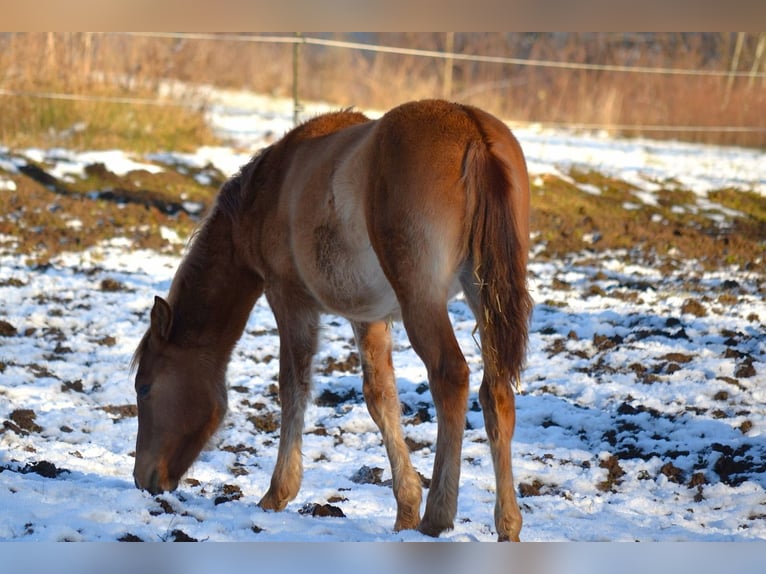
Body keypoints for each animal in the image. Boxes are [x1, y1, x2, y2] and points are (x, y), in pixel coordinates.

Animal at [130, 99, 536, 544]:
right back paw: (507, 524)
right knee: (495, 393)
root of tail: (470, 127)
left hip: (423, 301)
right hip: (482, 294)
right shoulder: (368, 317)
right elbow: (381, 399)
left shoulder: (289, 301)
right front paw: (405, 509)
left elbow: (293, 389)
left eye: (145, 387)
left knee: (451, 378)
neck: (271, 188)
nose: (142, 479)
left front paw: (277, 493)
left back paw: (438, 516)